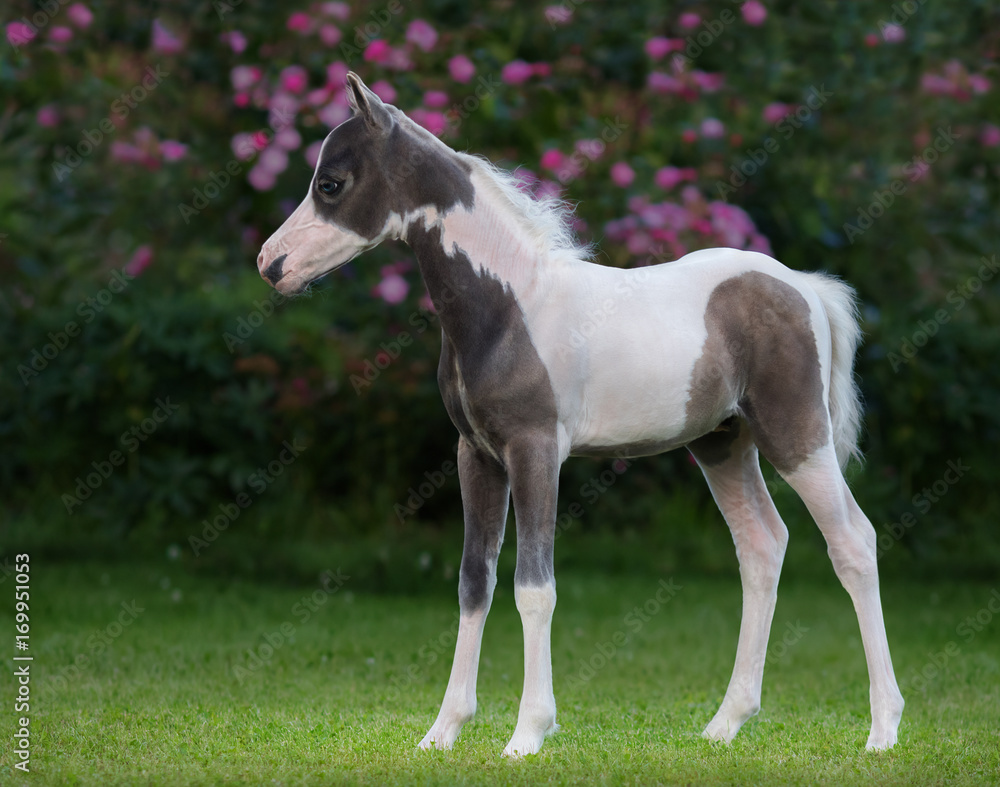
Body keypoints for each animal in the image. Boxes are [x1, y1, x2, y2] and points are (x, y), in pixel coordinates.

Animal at [256, 72, 904, 757]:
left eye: (331, 183)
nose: (271, 263)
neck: (510, 305)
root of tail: (804, 286)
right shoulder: (476, 455)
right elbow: (474, 582)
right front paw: (443, 730)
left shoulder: (536, 450)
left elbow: (534, 587)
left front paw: (527, 734)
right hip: (722, 444)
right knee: (762, 545)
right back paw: (725, 723)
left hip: (797, 436)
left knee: (853, 542)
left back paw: (883, 729)